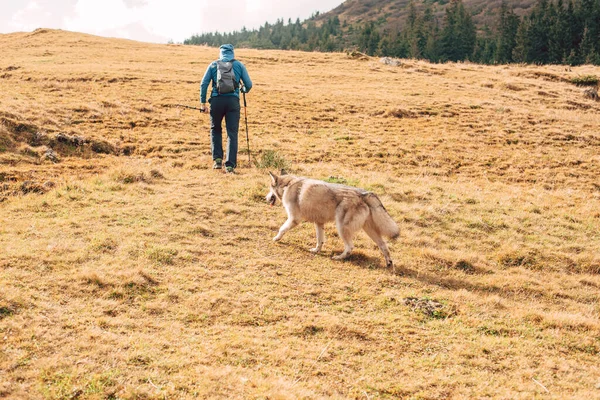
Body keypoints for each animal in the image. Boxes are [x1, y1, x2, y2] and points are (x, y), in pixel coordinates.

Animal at [266, 171, 398, 268]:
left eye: (270, 189)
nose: (265, 198)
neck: (287, 185)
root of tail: (365, 194)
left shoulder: (294, 219)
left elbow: (282, 229)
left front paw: (276, 239)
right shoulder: (319, 223)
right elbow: (320, 240)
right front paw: (316, 251)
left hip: (341, 228)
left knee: (350, 247)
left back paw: (338, 258)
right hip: (370, 231)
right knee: (384, 245)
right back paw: (389, 263)